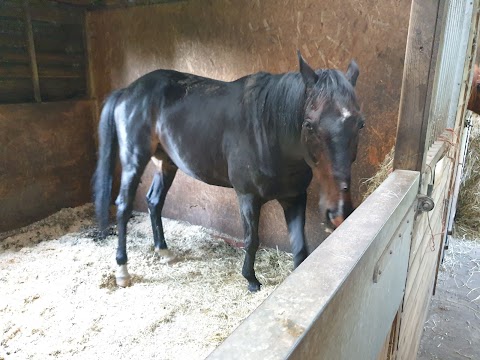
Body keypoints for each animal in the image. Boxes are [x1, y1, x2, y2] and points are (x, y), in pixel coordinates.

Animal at [94, 52, 364, 292]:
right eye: (309, 124)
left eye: (360, 124)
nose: (338, 213)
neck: (268, 133)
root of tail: (128, 91)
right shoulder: (247, 197)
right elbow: (252, 240)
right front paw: (251, 280)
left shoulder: (295, 197)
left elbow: (300, 249)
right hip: (134, 160)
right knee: (123, 206)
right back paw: (122, 271)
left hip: (166, 163)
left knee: (154, 202)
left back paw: (164, 252)